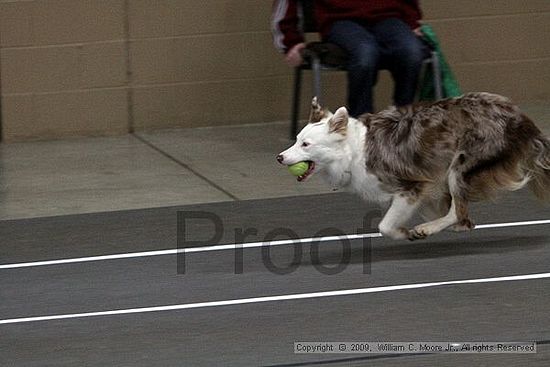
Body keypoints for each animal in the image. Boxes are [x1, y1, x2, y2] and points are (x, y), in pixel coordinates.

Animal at [278, 93, 550, 240]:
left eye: (306, 144)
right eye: (296, 139)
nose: (279, 157)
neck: (352, 151)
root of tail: (522, 119)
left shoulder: (411, 186)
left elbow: (385, 225)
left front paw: (403, 232)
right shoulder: (427, 188)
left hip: (461, 165)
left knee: (458, 210)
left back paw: (426, 229)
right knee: (460, 215)